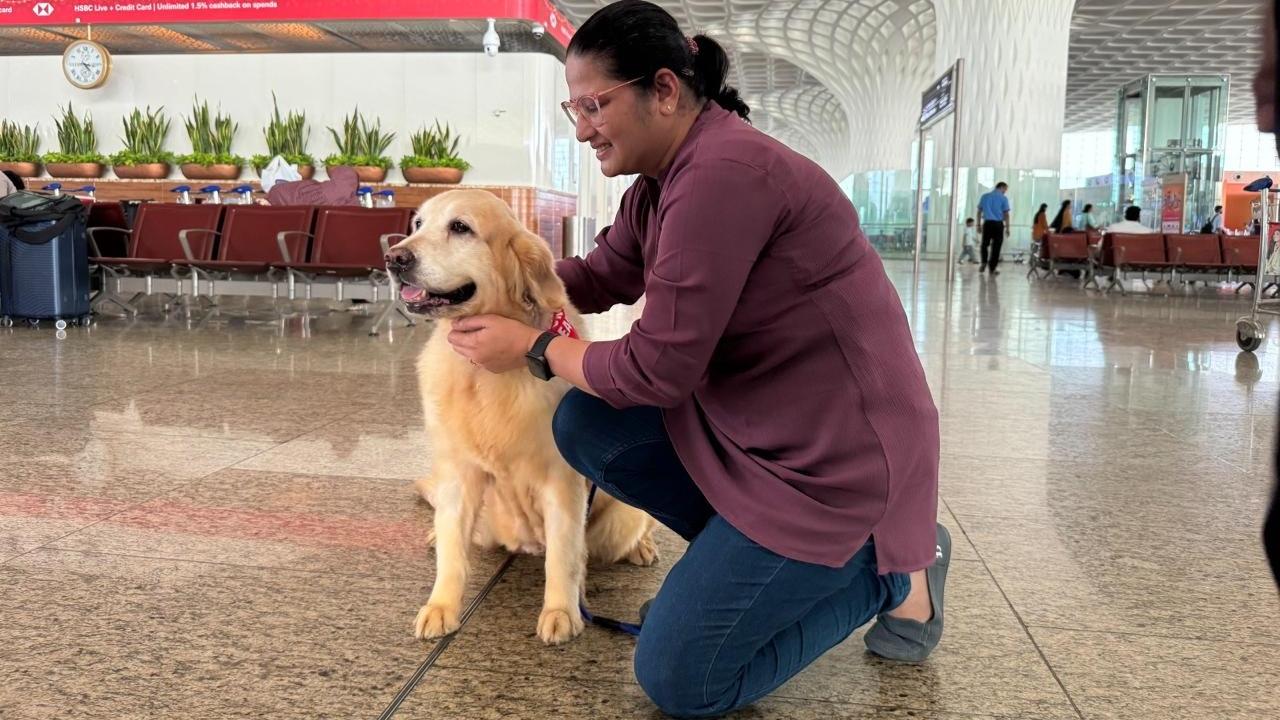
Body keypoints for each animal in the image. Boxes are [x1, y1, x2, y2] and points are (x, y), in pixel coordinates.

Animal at [389, 188, 660, 640]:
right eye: (418, 224)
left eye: (460, 227)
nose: (393, 258)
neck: (482, 373)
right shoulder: (458, 472)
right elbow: (453, 551)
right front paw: (441, 607)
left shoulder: (561, 481)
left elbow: (564, 555)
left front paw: (561, 612)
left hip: (620, 519)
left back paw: (643, 546)